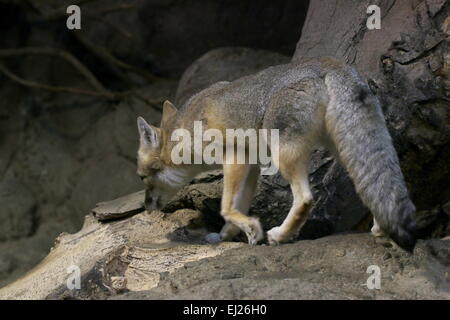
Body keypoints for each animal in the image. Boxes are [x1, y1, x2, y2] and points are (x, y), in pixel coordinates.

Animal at [135, 57, 416, 252]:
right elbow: (238, 205)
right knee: (374, 187)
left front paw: (252, 229)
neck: (185, 127)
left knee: (305, 198)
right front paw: (228, 235)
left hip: (285, 156)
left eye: (141, 178)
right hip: (343, 150)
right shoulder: (251, 166)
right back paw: (381, 231)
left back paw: (281, 235)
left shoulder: (235, 158)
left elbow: (226, 207)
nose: (146, 207)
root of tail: (329, 63)